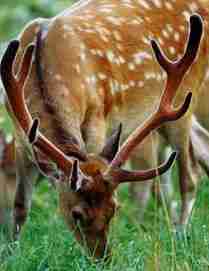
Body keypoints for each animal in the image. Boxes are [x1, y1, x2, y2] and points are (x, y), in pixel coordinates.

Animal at [0, 0, 206, 260]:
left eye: (113, 209)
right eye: (76, 214)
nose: (103, 258)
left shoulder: (97, 122)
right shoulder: (20, 139)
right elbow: (19, 206)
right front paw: (11, 254)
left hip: (185, 99)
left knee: (190, 176)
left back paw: (179, 238)